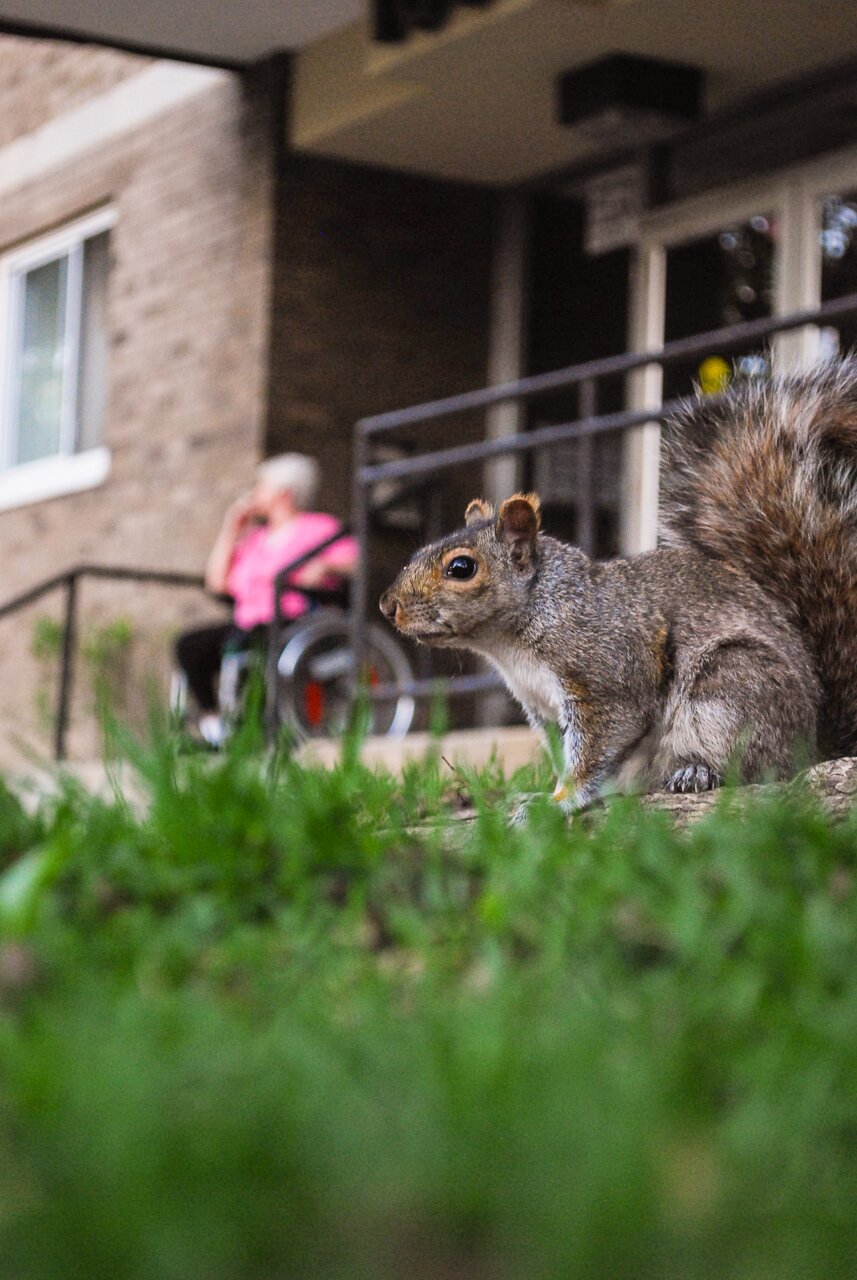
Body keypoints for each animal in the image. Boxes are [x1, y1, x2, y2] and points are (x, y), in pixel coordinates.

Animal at [379, 363, 857, 813]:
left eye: (461, 567)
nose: (388, 606)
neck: (513, 640)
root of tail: (812, 744)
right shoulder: (543, 709)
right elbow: (568, 753)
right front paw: (550, 793)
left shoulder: (606, 674)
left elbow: (601, 740)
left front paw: (559, 801)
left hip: (731, 689)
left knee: (756, 767)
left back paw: (698, 772)